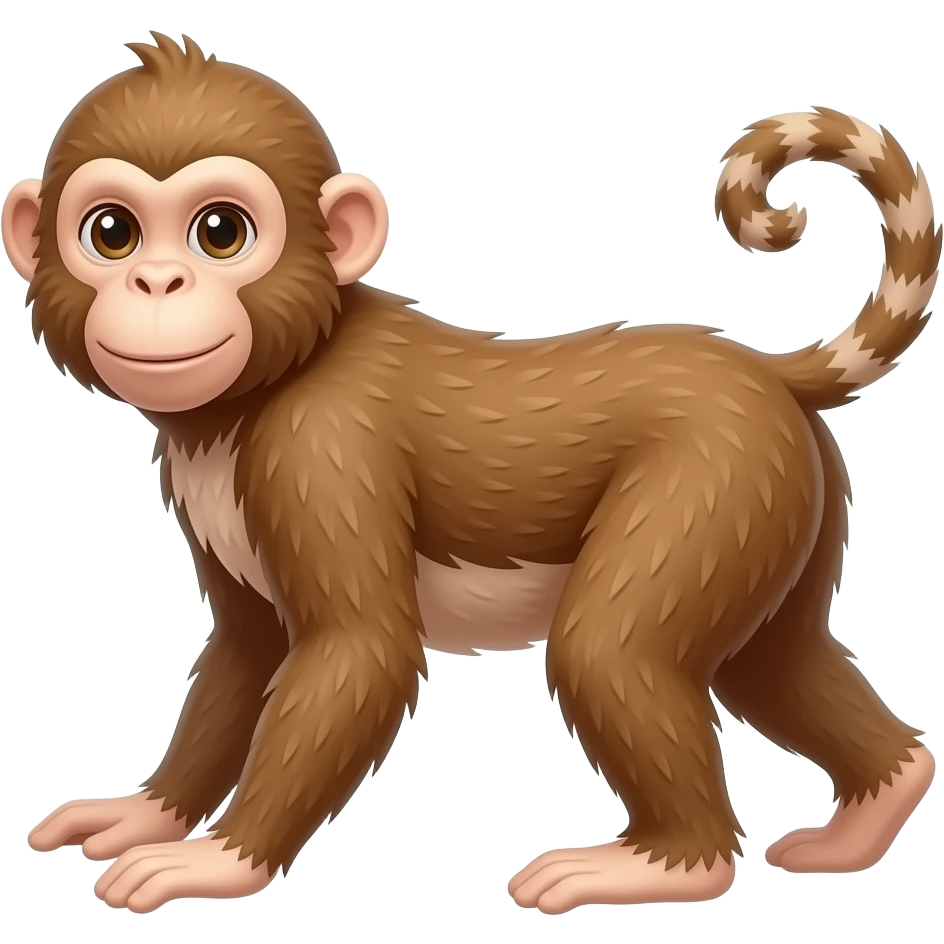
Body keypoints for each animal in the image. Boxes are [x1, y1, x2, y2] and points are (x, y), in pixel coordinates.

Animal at [5, 33, 939, 915]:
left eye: (220, 232)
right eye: (112, 233)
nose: (158, 281)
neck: (257, 392)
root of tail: (765, 372)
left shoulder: (323, 446)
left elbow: (361, 649)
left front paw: (222, 860)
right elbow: (246, 648)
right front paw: (147, 812)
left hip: (721, 474)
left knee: (611, 648)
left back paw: (672, 860)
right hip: (788, 490)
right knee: (773, 660)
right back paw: (878, 804)